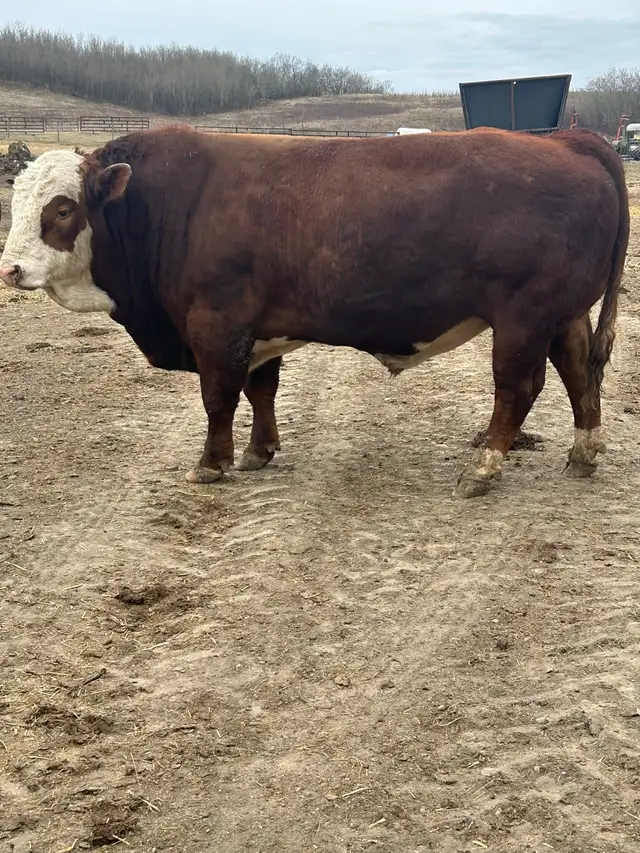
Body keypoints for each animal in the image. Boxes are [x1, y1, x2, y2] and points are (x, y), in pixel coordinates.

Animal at [0, 125, 629, 497]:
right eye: (17, 202)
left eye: (62, 209)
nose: (10, 269)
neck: (169, 204)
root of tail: (570, 139)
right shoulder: (257, 332)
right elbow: (260, 391)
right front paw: (258, 452)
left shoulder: (217, 324)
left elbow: (219, 397)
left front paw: (211, 463)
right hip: (564, 315)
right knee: (579, 375)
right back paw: (583, 453)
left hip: (524, 317)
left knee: (517, 389)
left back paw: (483, 468)